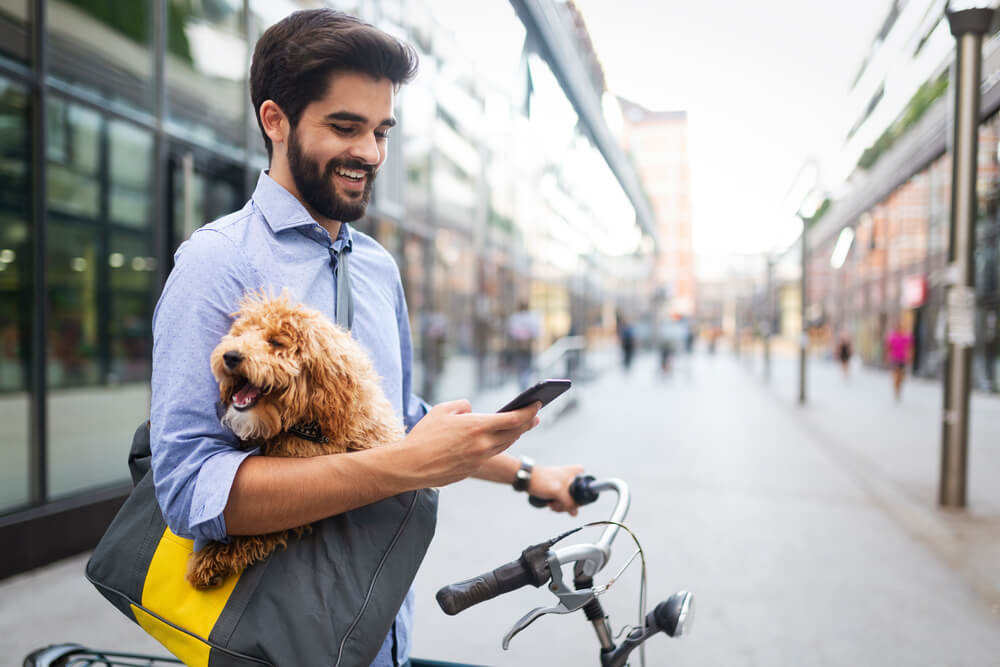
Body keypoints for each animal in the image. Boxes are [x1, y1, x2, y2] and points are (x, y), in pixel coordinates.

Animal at [186, 292, 404, 588]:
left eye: (276, 342)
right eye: (241, 333)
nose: (230, 355)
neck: (308, 425)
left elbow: (264, 526)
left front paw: (212, 559)